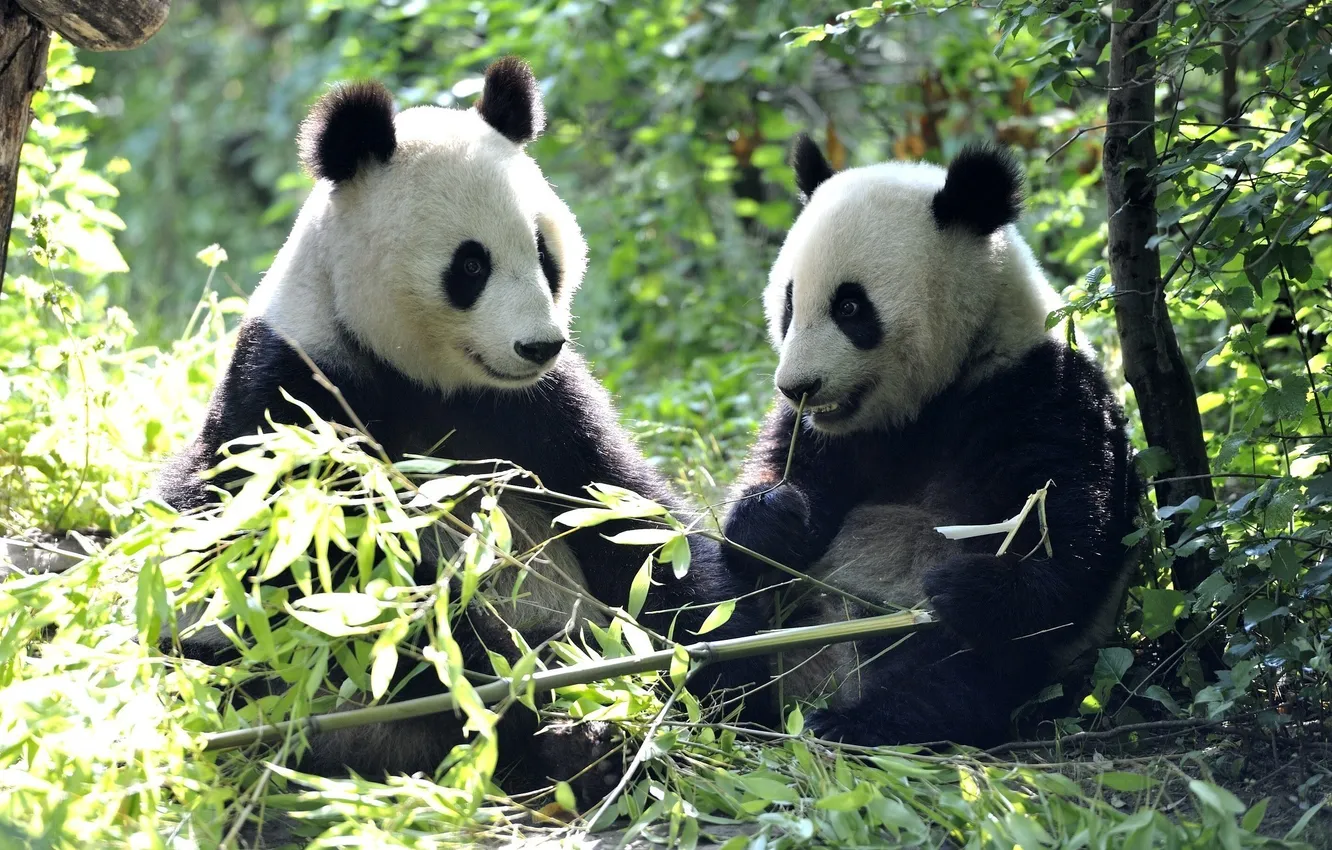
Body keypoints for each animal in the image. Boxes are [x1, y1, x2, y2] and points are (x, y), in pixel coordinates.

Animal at [154, 59, 761, 799]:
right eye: (471, 265)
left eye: (544, 252)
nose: (539, 345)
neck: (424, 375)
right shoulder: (296, 396)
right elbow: (321, 575)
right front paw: (536, 676)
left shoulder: (539, 410)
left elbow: (628, 518)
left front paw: (725, 661)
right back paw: (571, 739)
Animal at [724, 136, 1140, 751]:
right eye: (789, 304)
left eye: (850, 307)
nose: (797, 386)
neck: (931, 397)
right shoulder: (835, 436)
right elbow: (783, 474)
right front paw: (773, 516)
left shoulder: (1036, 391)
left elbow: (1070, 531)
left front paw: (967, 588)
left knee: (957, 673)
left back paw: (861, 720)